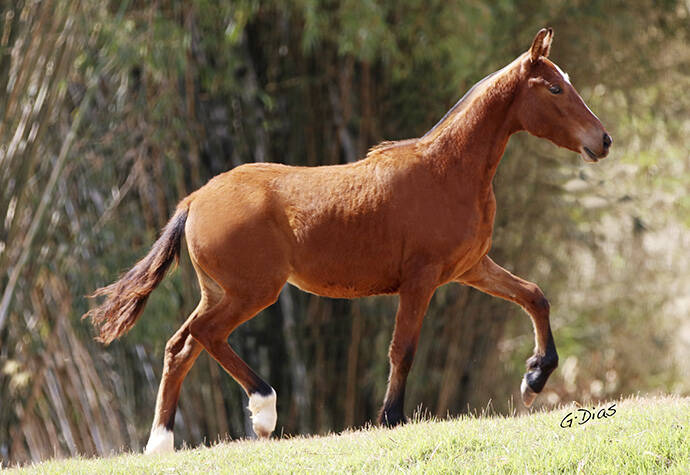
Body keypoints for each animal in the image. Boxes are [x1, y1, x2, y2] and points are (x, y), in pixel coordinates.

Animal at [83, 27, 612, 456]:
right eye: (554, 87)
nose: (602, 140)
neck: (447, 172)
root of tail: (194, 198)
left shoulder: (470, 268)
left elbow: (534, 296)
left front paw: (534, 378)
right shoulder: (421, 280)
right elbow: (403, 348)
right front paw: (391, 418)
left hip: (221, 291)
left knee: (180, 346)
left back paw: (161, 444)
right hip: (252, 291)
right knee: (205, 335)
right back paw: (264, 410)